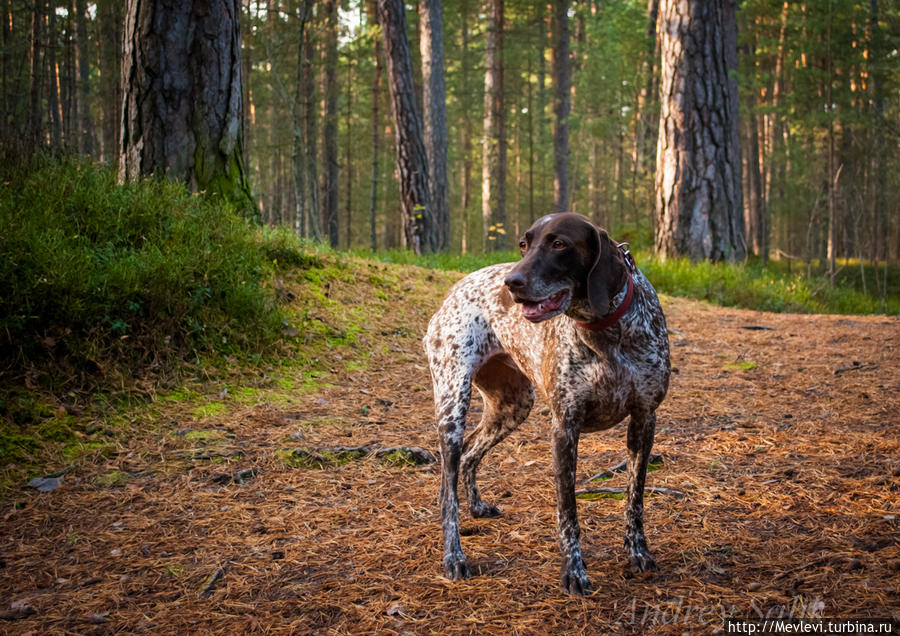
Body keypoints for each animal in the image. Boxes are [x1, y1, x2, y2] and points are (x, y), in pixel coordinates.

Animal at [426, 214, 672, 596]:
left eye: (559, 244)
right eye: (524, 245)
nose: (512, 283)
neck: (607, 330)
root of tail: (455, 288)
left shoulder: (644, 419)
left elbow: (635, 500)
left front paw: (637, 553)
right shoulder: (565, 428)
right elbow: (568, 513)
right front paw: (574, 571)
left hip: (512, 406)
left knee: (470, 453)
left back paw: (477, 506)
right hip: (452, 405)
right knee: (446, 489)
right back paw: (454, 557)